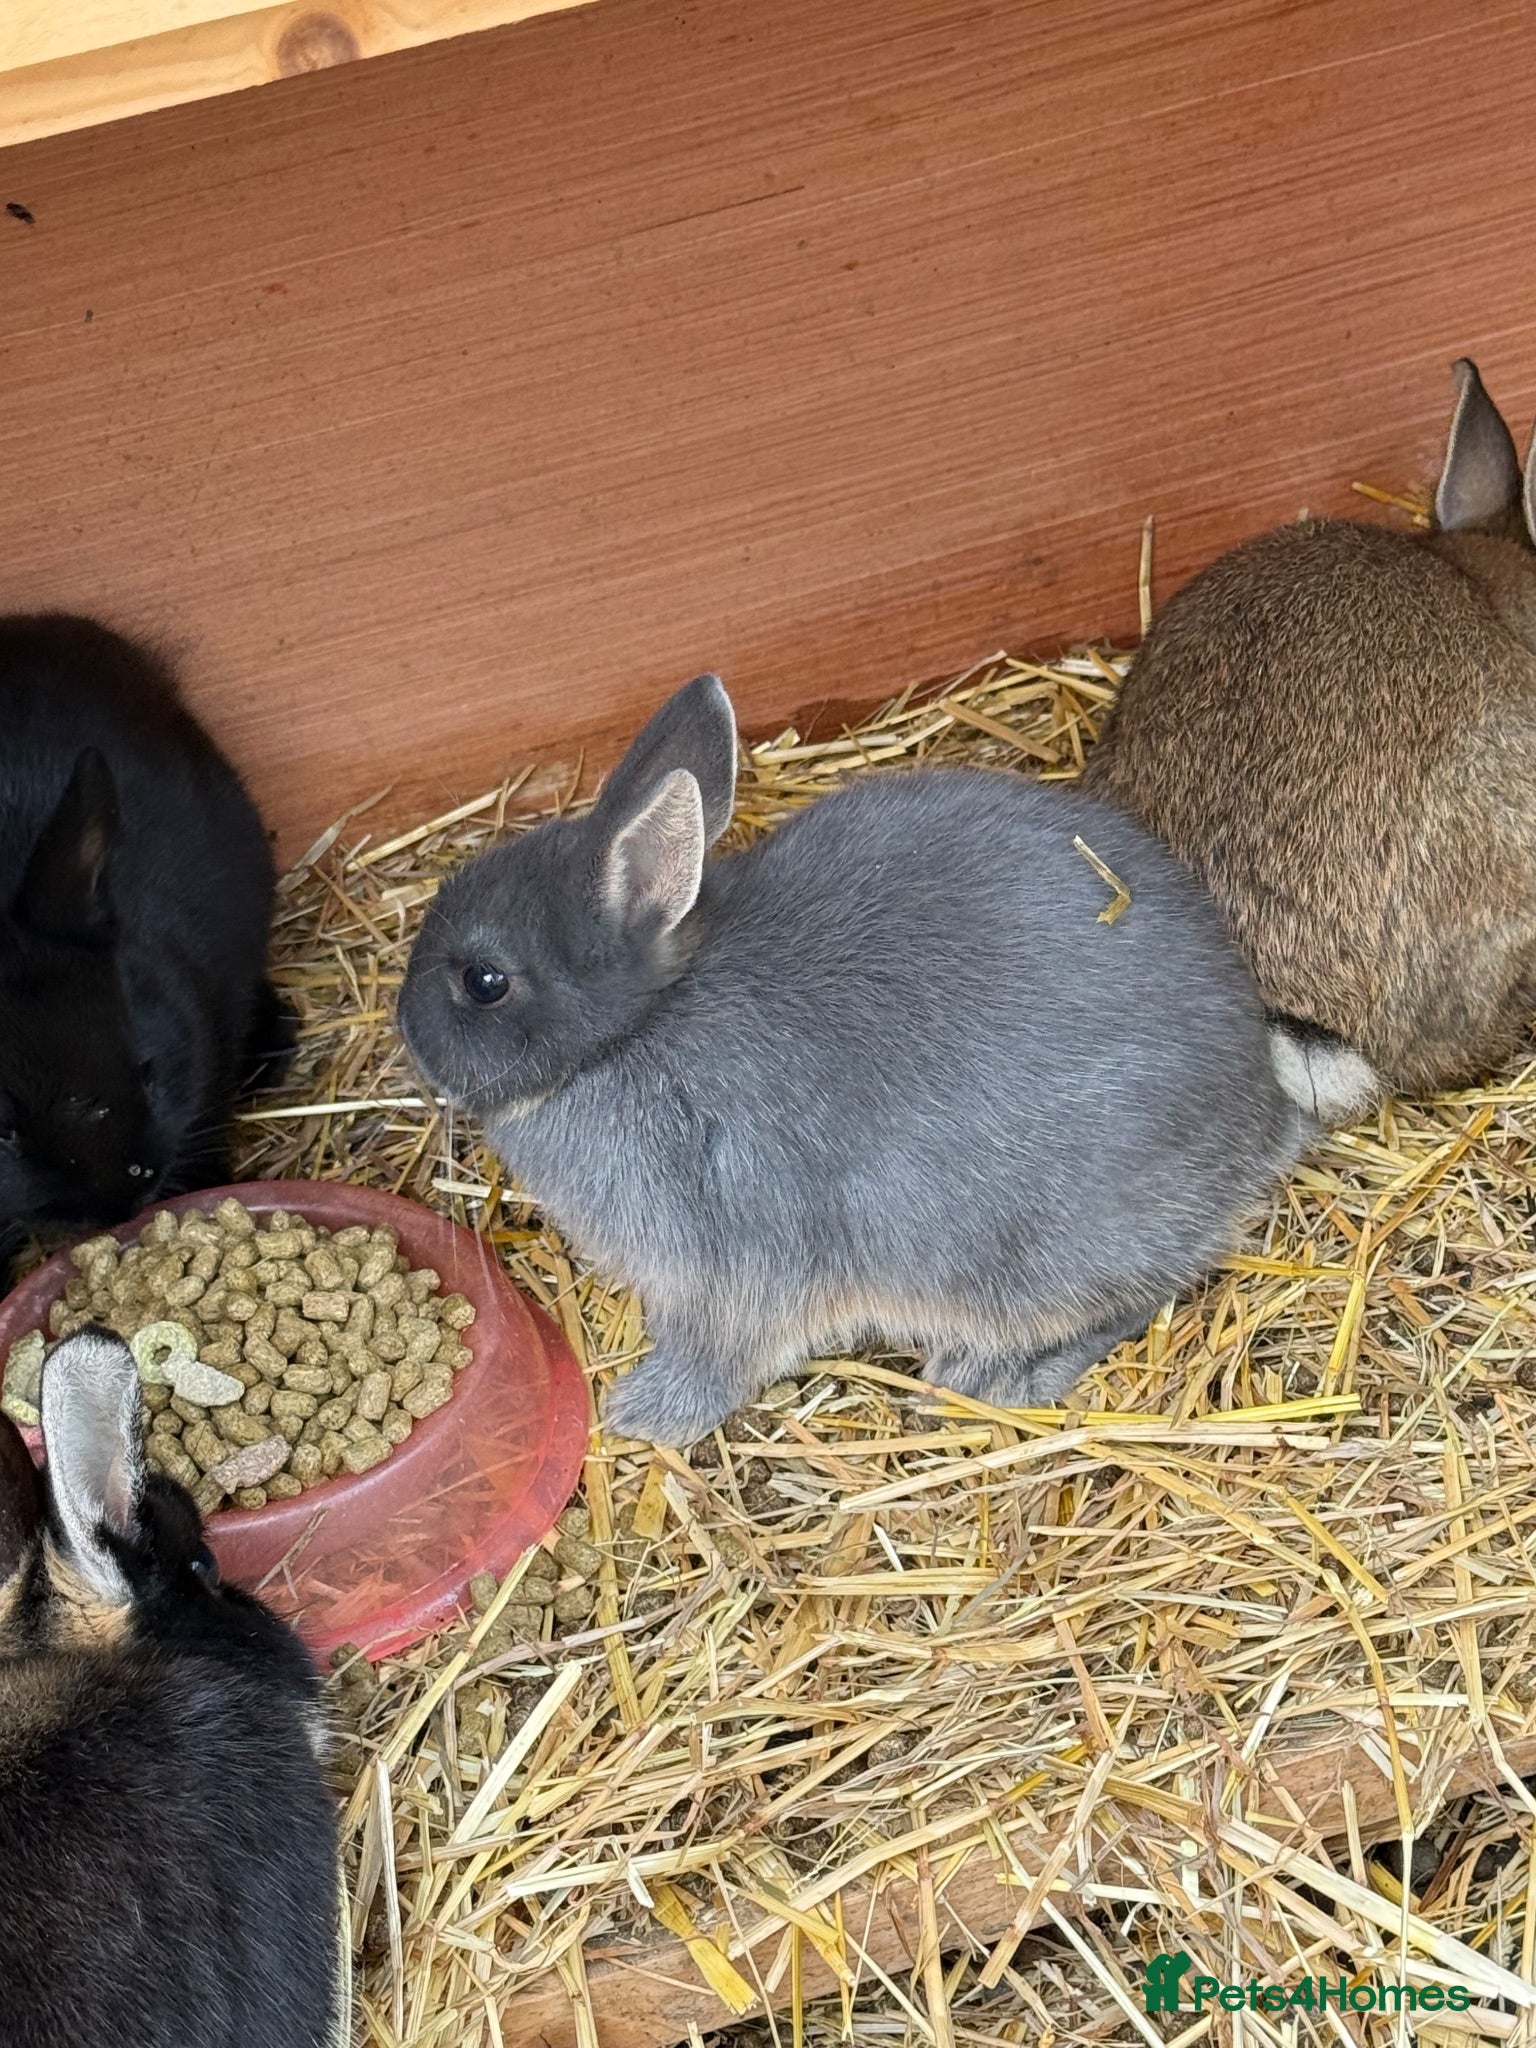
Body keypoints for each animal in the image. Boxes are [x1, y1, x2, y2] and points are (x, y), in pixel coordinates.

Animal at [398, 673, 1311, 1446]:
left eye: (485, 982)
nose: (404, 1027)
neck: (637, 1029)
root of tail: (1263, 1115)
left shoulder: (729, 1258)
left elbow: (719, 1353)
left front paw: (643, 1416)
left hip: (1037, 1257)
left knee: (1137, 1297)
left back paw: (993, 1374)